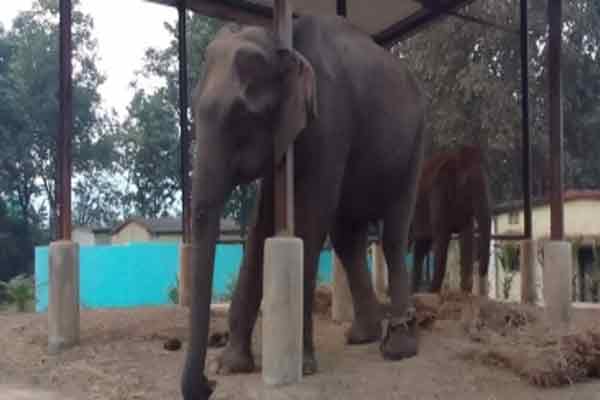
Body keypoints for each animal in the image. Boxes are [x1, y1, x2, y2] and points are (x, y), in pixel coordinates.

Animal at [181, 14, 426, 399]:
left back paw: (397, 348)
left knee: (393, 234)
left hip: (414, 144)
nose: (209, 384)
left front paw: (304, 367)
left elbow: (310, 217)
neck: (280, 43)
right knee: (348, 238)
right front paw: (233, 365)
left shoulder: (328, 117)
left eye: (240, 115)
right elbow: (261, 225)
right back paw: (362, 336)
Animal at [410, 145, 492, 295]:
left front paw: (465, 290)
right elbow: (442, 235)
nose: (481, 271)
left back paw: (413, 292)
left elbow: (467, 235)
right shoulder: (438, 194)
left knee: (421, 247)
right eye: (467, 183)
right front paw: (433, 291)